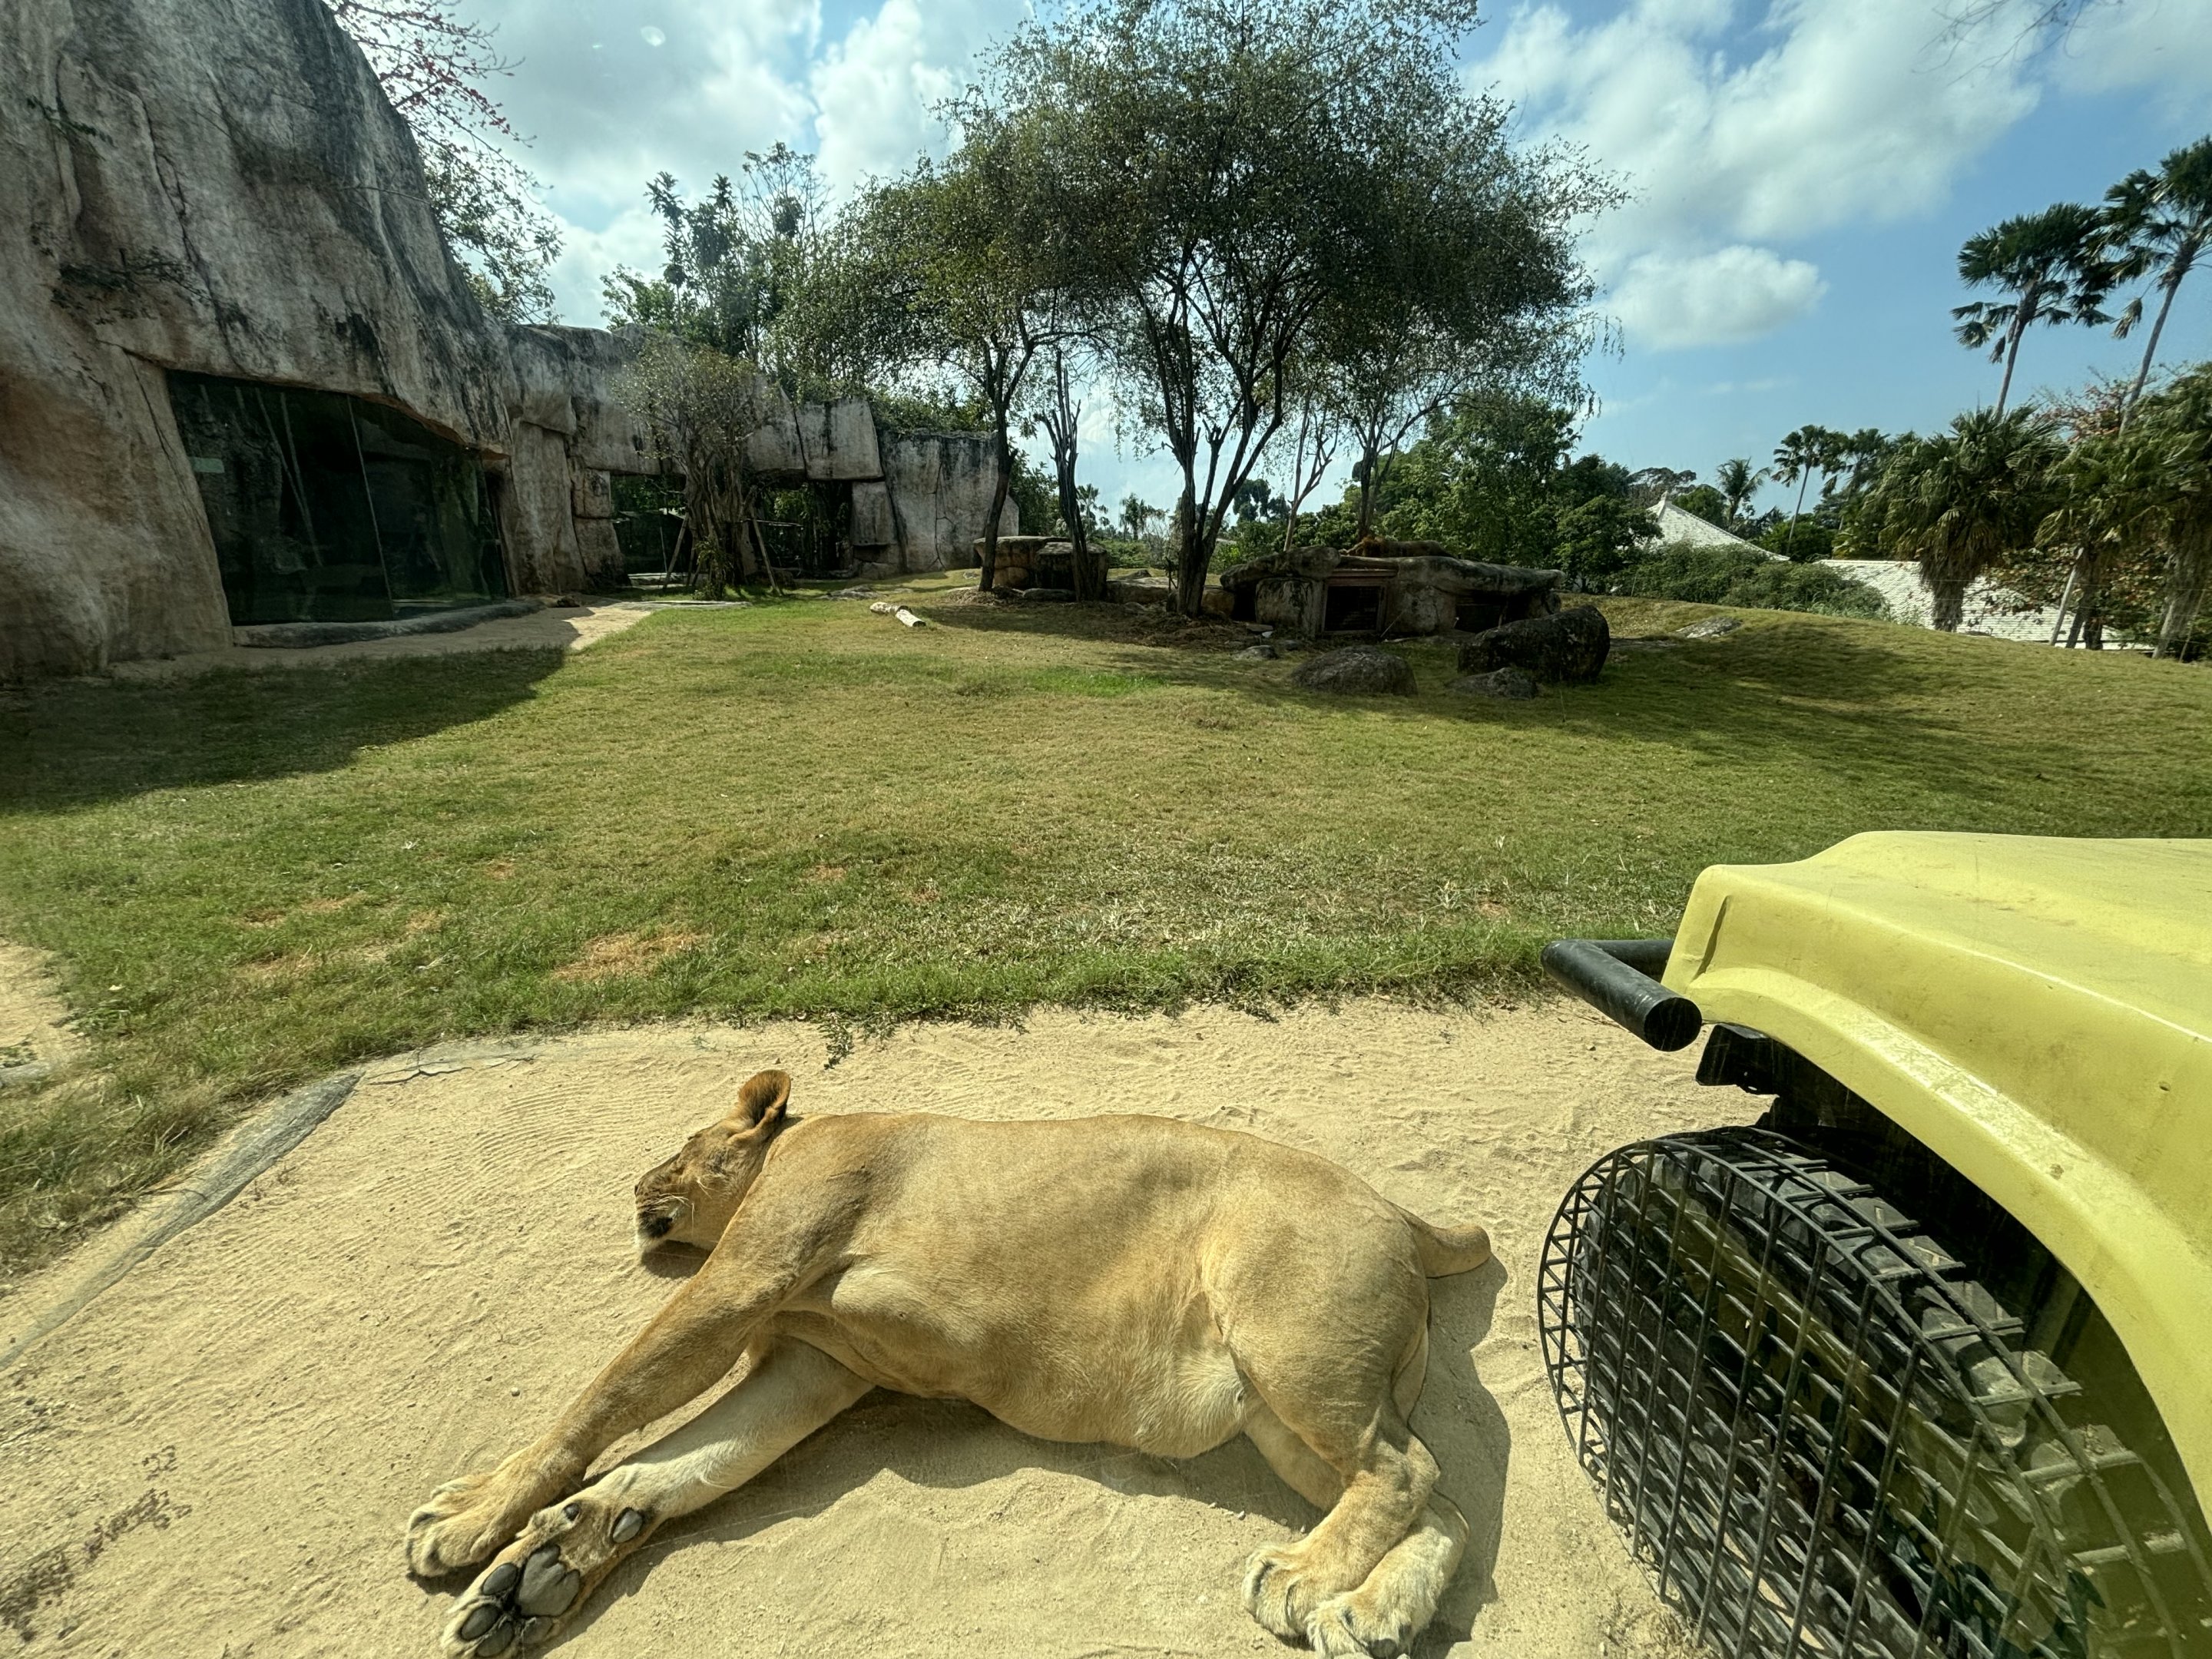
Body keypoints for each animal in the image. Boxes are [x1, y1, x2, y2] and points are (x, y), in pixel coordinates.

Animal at [407, 1069, 1493, 1657]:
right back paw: (1372, 1615)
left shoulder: (748, 1274)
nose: (633, 1185)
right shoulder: (809, 1366)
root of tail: (1398, 1208)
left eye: (681, 1143)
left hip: (1282, 1339)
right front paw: (540, 1572)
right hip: (1278, 1411)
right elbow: (673, 1469)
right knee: (1439, 1500)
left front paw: (470, 1516)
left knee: (1409, 1468)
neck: (796, 1142)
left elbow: (601, 1400)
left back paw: (1304, 1579)